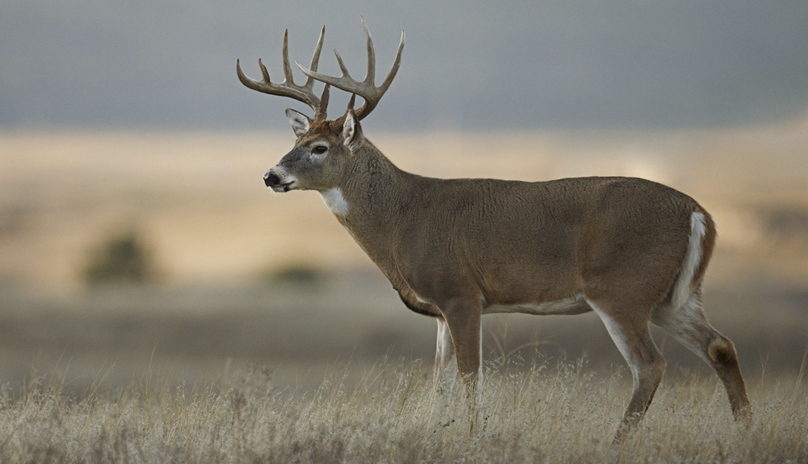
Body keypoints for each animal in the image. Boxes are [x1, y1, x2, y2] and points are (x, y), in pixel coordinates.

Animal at [237, 18, 751, 440]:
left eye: (320, 148)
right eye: (296, 139)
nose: (270, 176)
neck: (403, 218)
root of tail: (699, 213)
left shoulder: (461, 291)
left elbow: (470, 375)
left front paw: (472, 435)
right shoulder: (440, 310)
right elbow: (440, 381)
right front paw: (439, 431)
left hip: (621, 288)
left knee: (650, 365)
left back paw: (617, 441)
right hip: (672, 296)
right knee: (720, 345)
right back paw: (744, 430)